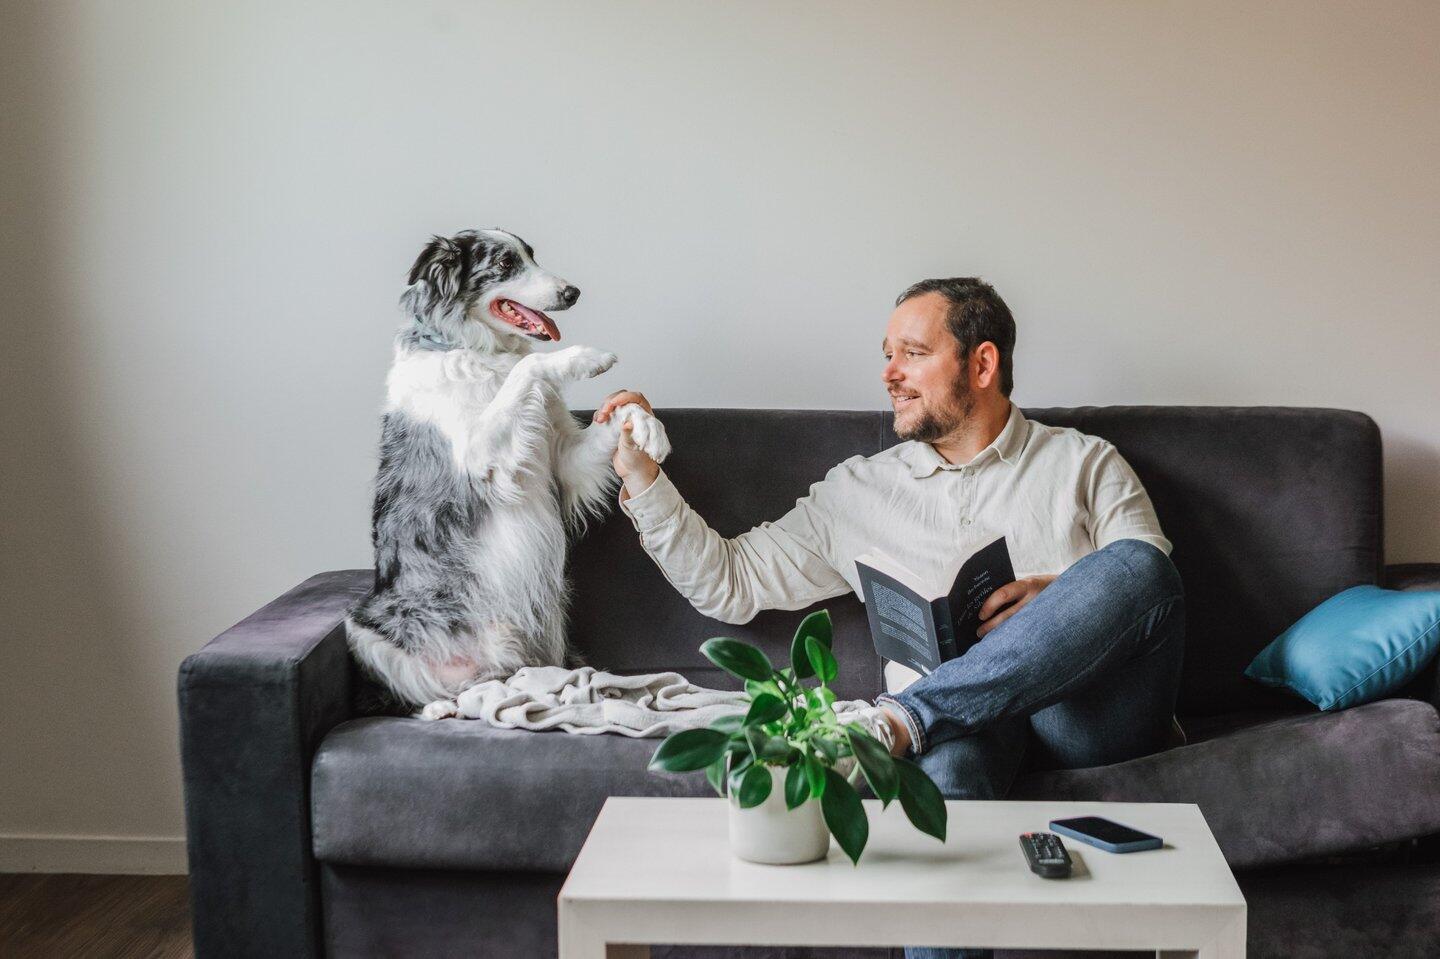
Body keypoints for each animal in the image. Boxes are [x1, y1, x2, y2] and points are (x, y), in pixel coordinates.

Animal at [348, 227, 668, 714]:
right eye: (504, 264)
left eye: (532, 255)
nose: (572, 293)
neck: (476, 349)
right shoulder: (479, 457)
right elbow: (529, 364)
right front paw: (583, 358)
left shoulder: (565, 459)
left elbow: (621, 409)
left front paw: (649, 429)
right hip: (363, 628)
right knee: (421, 693)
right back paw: (442, 707)